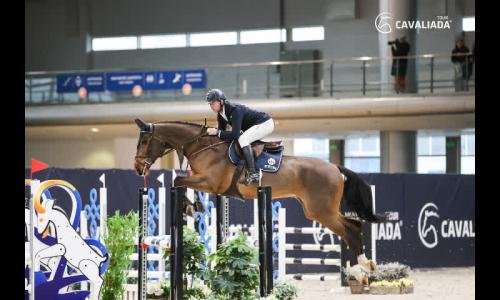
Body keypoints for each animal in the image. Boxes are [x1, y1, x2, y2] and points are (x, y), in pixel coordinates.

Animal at [133, 119, 386, 282]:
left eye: (144, 143)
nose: (137, 167)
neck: (202, 146)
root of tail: (335, 167)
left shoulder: (211, 183)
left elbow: (178, 180)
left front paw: (190, 206)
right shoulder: (204, 181)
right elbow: (180, 181)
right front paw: (194, 206)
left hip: (322, 211)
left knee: (352, 227)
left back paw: (364, 266)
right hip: (316, 210)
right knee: (351, 227)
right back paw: (361, 269)